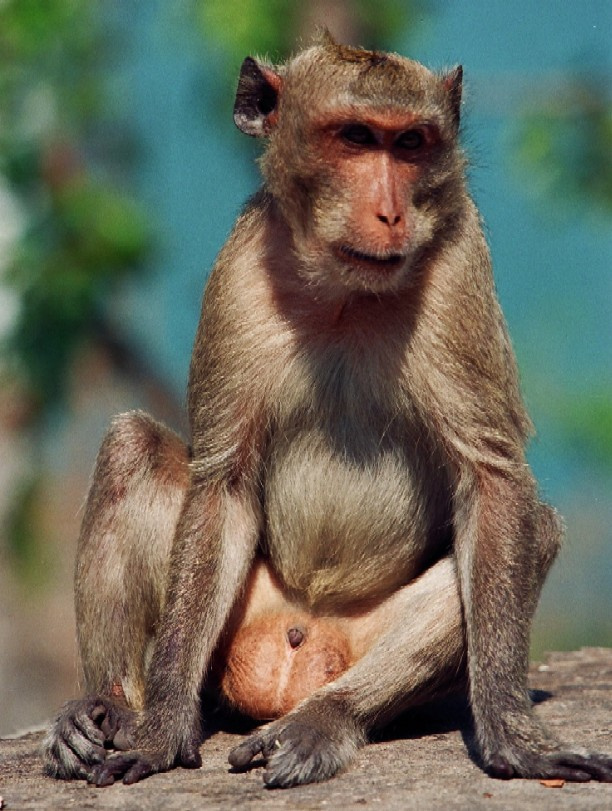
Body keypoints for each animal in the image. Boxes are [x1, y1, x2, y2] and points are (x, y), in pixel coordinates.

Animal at [42, 33, 612, 789]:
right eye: (356, 138)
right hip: (242, 618)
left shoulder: (461, 261)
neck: (346, 290)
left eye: (411, 144)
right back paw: (107, 706)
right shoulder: (241, 268)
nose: (392, 213)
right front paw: (160, 726)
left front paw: (514, 736)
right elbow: (221, 482)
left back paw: (323, 719)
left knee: (534, 527)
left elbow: (492, 479)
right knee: (131, 444)